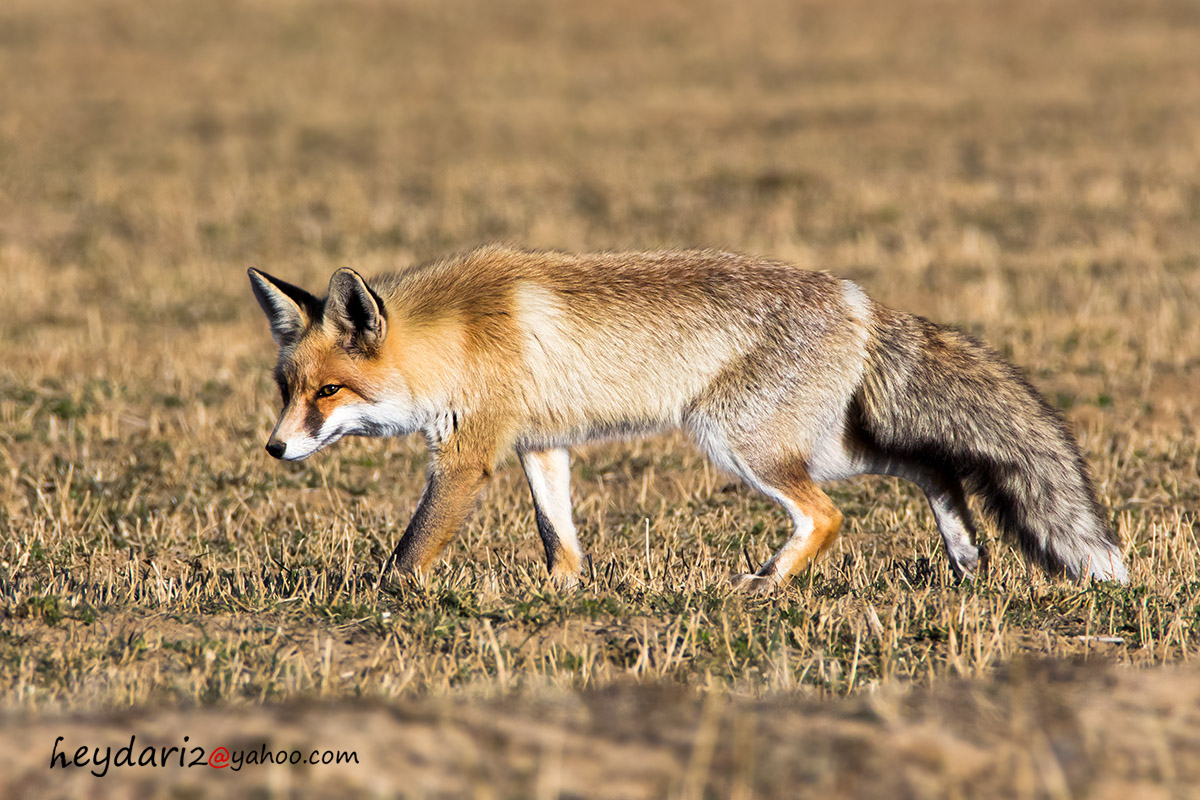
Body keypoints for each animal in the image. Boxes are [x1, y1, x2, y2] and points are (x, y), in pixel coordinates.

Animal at [248, 245, 1128, 591]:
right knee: (933, 465)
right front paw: (564, 595)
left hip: (742, 445)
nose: (275, 448)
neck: (454, 336)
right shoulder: (541, 446)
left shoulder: (468, 457)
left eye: (328, 393)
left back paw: (766, 586)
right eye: (286, 387)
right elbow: (559, 538)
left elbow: (409, 550)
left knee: (830, 516)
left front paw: (381, 601)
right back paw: (964, 554)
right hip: (820, 444)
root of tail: (860, 299)